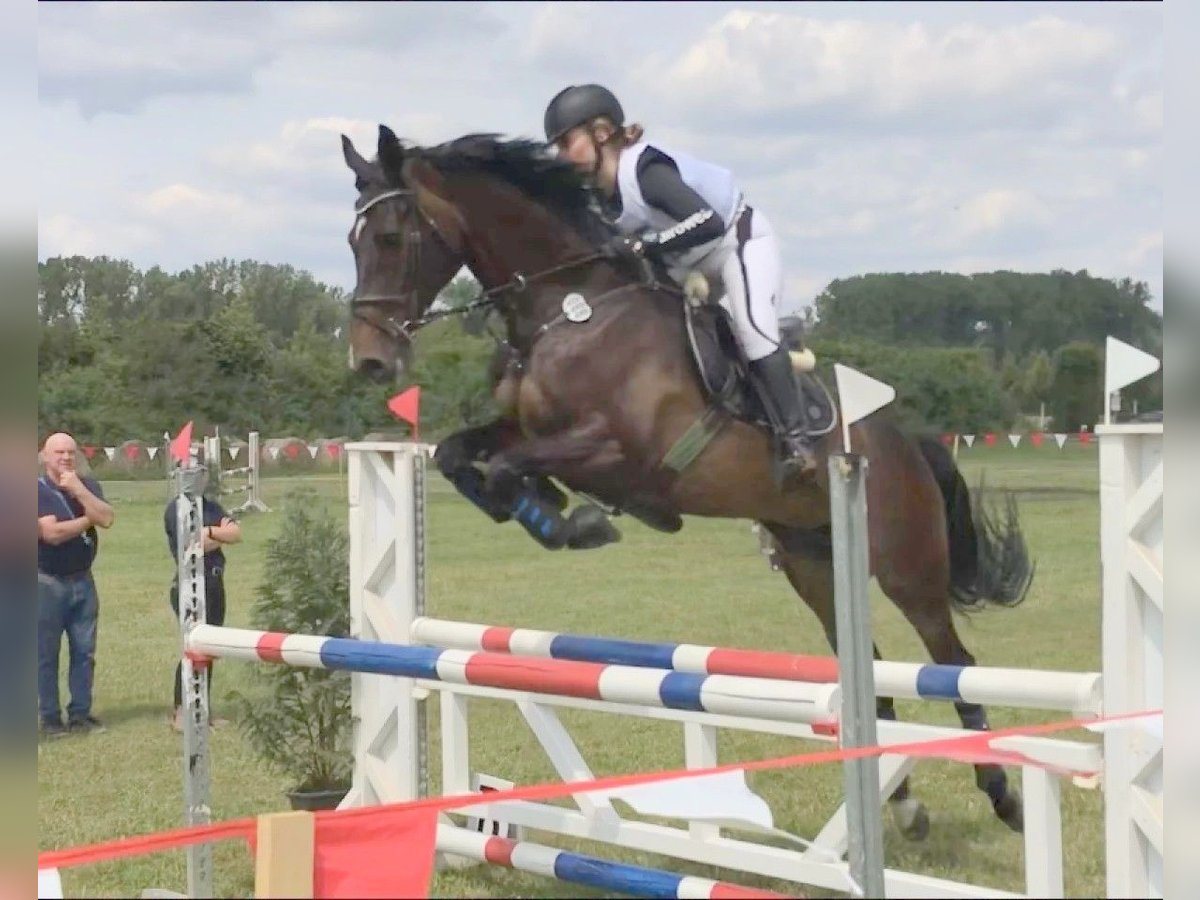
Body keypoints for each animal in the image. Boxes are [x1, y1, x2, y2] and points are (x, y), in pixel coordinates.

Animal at [341, 124, 1035, 838]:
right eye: (351, 241)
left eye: (389, 238)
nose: (369, 359)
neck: (571, 309)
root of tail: (904, 441)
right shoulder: (518, 429)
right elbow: (459, 455)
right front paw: (549, 512)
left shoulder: (621, 453)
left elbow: (513, 467)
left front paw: (573, 519)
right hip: (814, 565)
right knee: (865, 666)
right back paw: (904, 804)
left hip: (906, 564)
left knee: (952, 662)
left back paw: (1003, 795)